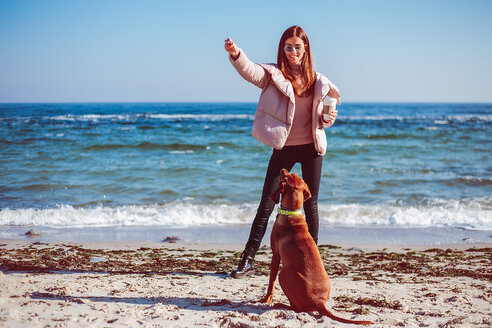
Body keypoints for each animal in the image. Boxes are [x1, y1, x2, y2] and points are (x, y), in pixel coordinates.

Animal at [262, 169, 372, 326]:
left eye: (286, 176)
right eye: (294, 175)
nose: (282, 170)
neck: (291, 213)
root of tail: (319, 302)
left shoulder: (275, 255)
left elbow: (270, 281)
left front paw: (266, 299)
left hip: (284, 273)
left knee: (296, 308)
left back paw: (281, 304)